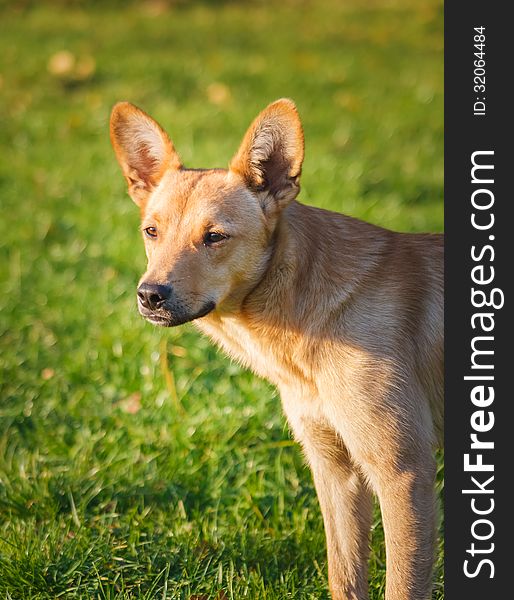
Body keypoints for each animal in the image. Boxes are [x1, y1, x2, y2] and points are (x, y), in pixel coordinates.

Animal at [110, 99, 442, 600]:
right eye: (151, 231)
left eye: (215, 237)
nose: (149, 295)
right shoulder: (335, 469)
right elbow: (344, 576)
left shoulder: (403, 473)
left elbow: (401, 585)